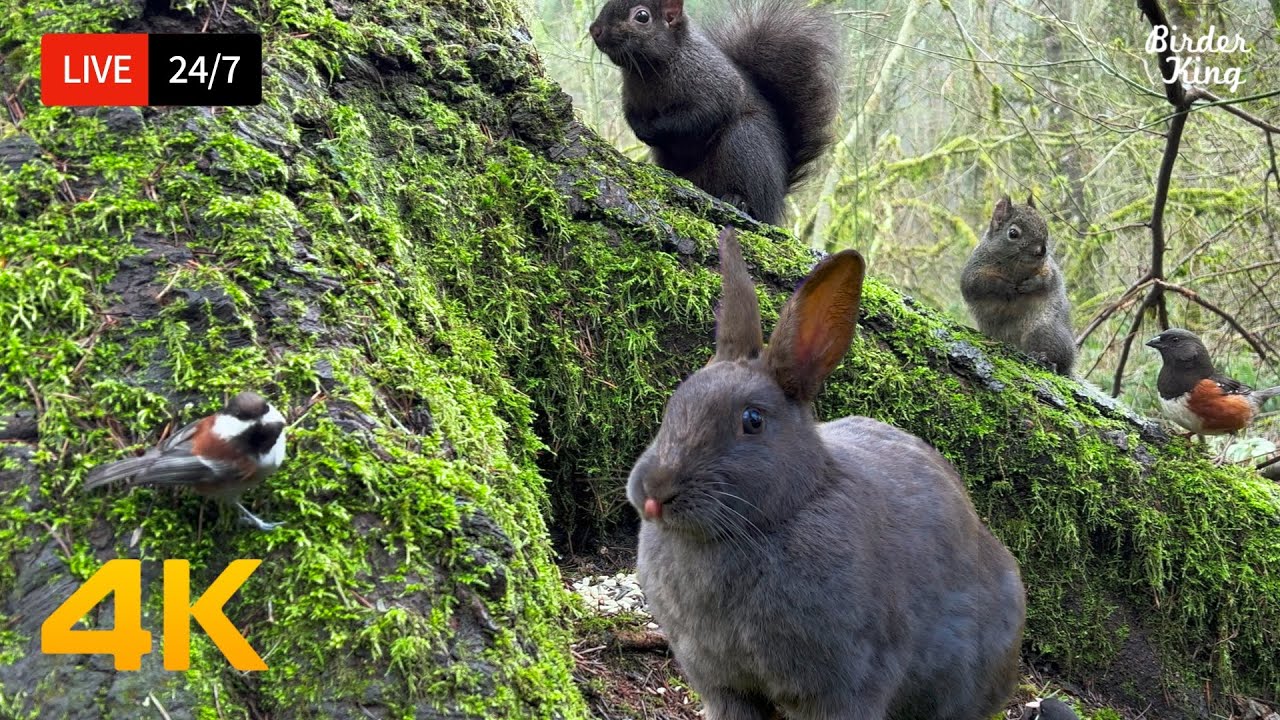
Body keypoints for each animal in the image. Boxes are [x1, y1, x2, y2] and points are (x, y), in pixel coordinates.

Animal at [588, 0, 839, 225]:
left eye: (642, 16)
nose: (594, 29)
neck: (646, 70)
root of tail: (777, 197)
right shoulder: (631, 102)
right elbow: (632, 118)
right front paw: (642, 130)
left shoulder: (713, 86)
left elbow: (697, 117)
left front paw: (654, 130)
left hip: (746, 142)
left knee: (755, 201)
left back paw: (739, 200)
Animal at [961, 194, 1076, 375]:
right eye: (1013, 233)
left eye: (1045, 227)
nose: (1041, 251)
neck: (1016, 268)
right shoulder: (973, 271)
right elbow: (977, 285)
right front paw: (1004, 287)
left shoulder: (1048, 268)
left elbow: (1048, 280)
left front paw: (1030, 284)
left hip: (1043, 332)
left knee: (1059, 361)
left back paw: (1045, 359)